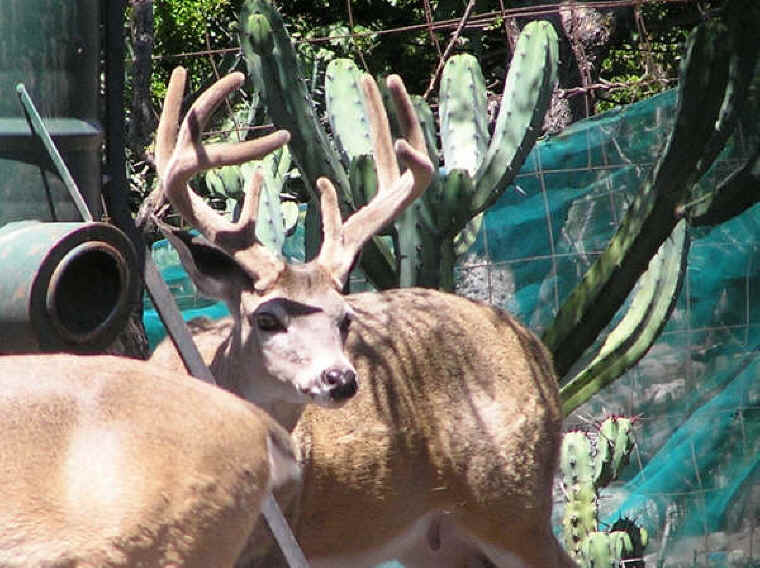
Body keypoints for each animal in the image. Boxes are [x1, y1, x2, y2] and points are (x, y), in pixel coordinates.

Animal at [149, 67, 575, 567]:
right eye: (266, 319)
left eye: (345, 319)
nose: (341, 379)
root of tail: (534, 345)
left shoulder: (273, 548)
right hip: (433, 541)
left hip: (514, 502)